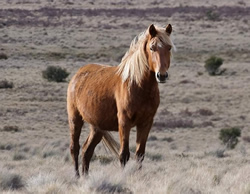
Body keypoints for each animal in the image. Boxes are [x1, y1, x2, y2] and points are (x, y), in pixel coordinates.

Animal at [67, 23, 175, 177]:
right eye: (152, 48)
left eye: (169, 47)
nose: (162, 75)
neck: (137, 85)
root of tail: (78, 75)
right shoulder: (124, 122)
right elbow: (124, 154)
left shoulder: (146, 123)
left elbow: (140, 154)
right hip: (75, 119)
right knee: (74, 148)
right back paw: (76, 176)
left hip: (97, 127)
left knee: (87, 151)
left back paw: (85, 177)